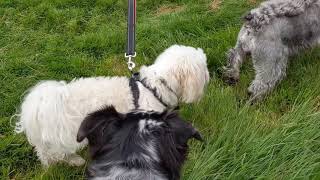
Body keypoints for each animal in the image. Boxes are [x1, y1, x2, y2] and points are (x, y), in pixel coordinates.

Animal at [15, 44, 210, 167]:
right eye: (204, 67)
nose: (209, 76)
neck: (153, 86)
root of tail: (40, 102)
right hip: (64, 135)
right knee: (52, 154)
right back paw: (69, 162)